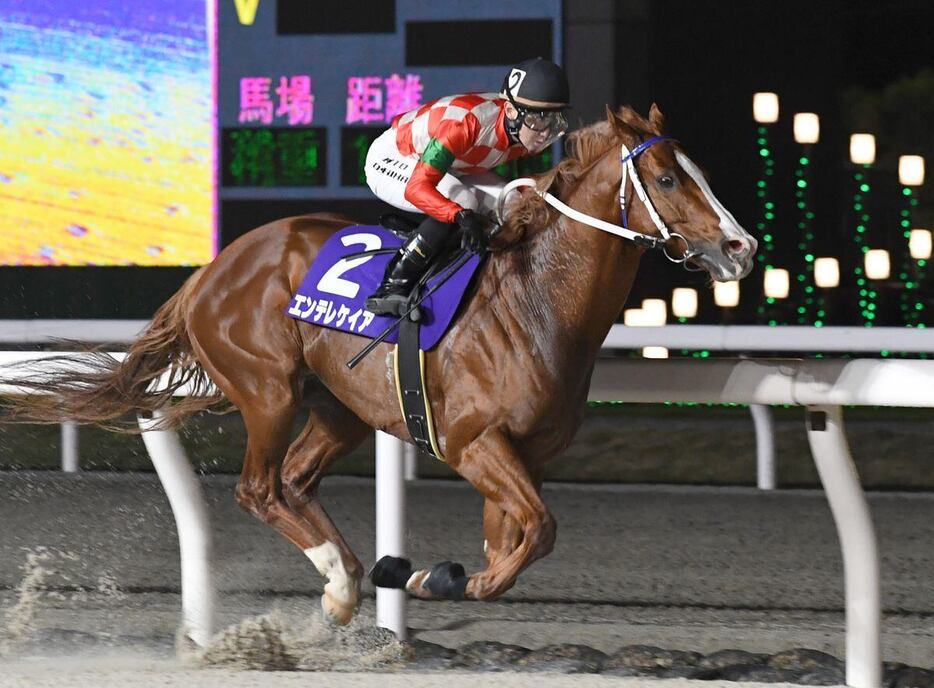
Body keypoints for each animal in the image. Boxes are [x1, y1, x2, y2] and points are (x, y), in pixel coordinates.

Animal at [3, 105, 756, 628]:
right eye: (667, 178)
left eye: (700, 175)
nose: (741, 247)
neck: (536, 301)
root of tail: (212, 271)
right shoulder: (471, 441)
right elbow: (539, 530)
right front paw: (445, 580)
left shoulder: (525, 454)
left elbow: (514, 538)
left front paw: (431, 575)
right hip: (269, 389)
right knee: (260, 489)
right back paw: (339, 582)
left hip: (338, 407)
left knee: (296, 482)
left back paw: (351, 577)